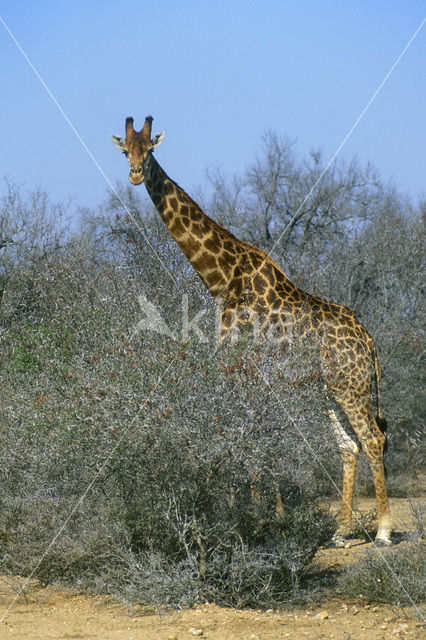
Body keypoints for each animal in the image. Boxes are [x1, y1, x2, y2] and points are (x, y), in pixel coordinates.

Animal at [110, 114, 392, 544]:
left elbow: (249, 436)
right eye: (126, 150)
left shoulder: (245, 367)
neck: (223, 278)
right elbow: (253, 436)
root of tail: (369, 341)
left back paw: (384, 531)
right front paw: (266, 513)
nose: (136, 175)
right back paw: (341, 531)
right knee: (349, 446)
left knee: (373, 439)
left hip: (352, 385)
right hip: (332, 389)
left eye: (151, 150)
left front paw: (256, 515)